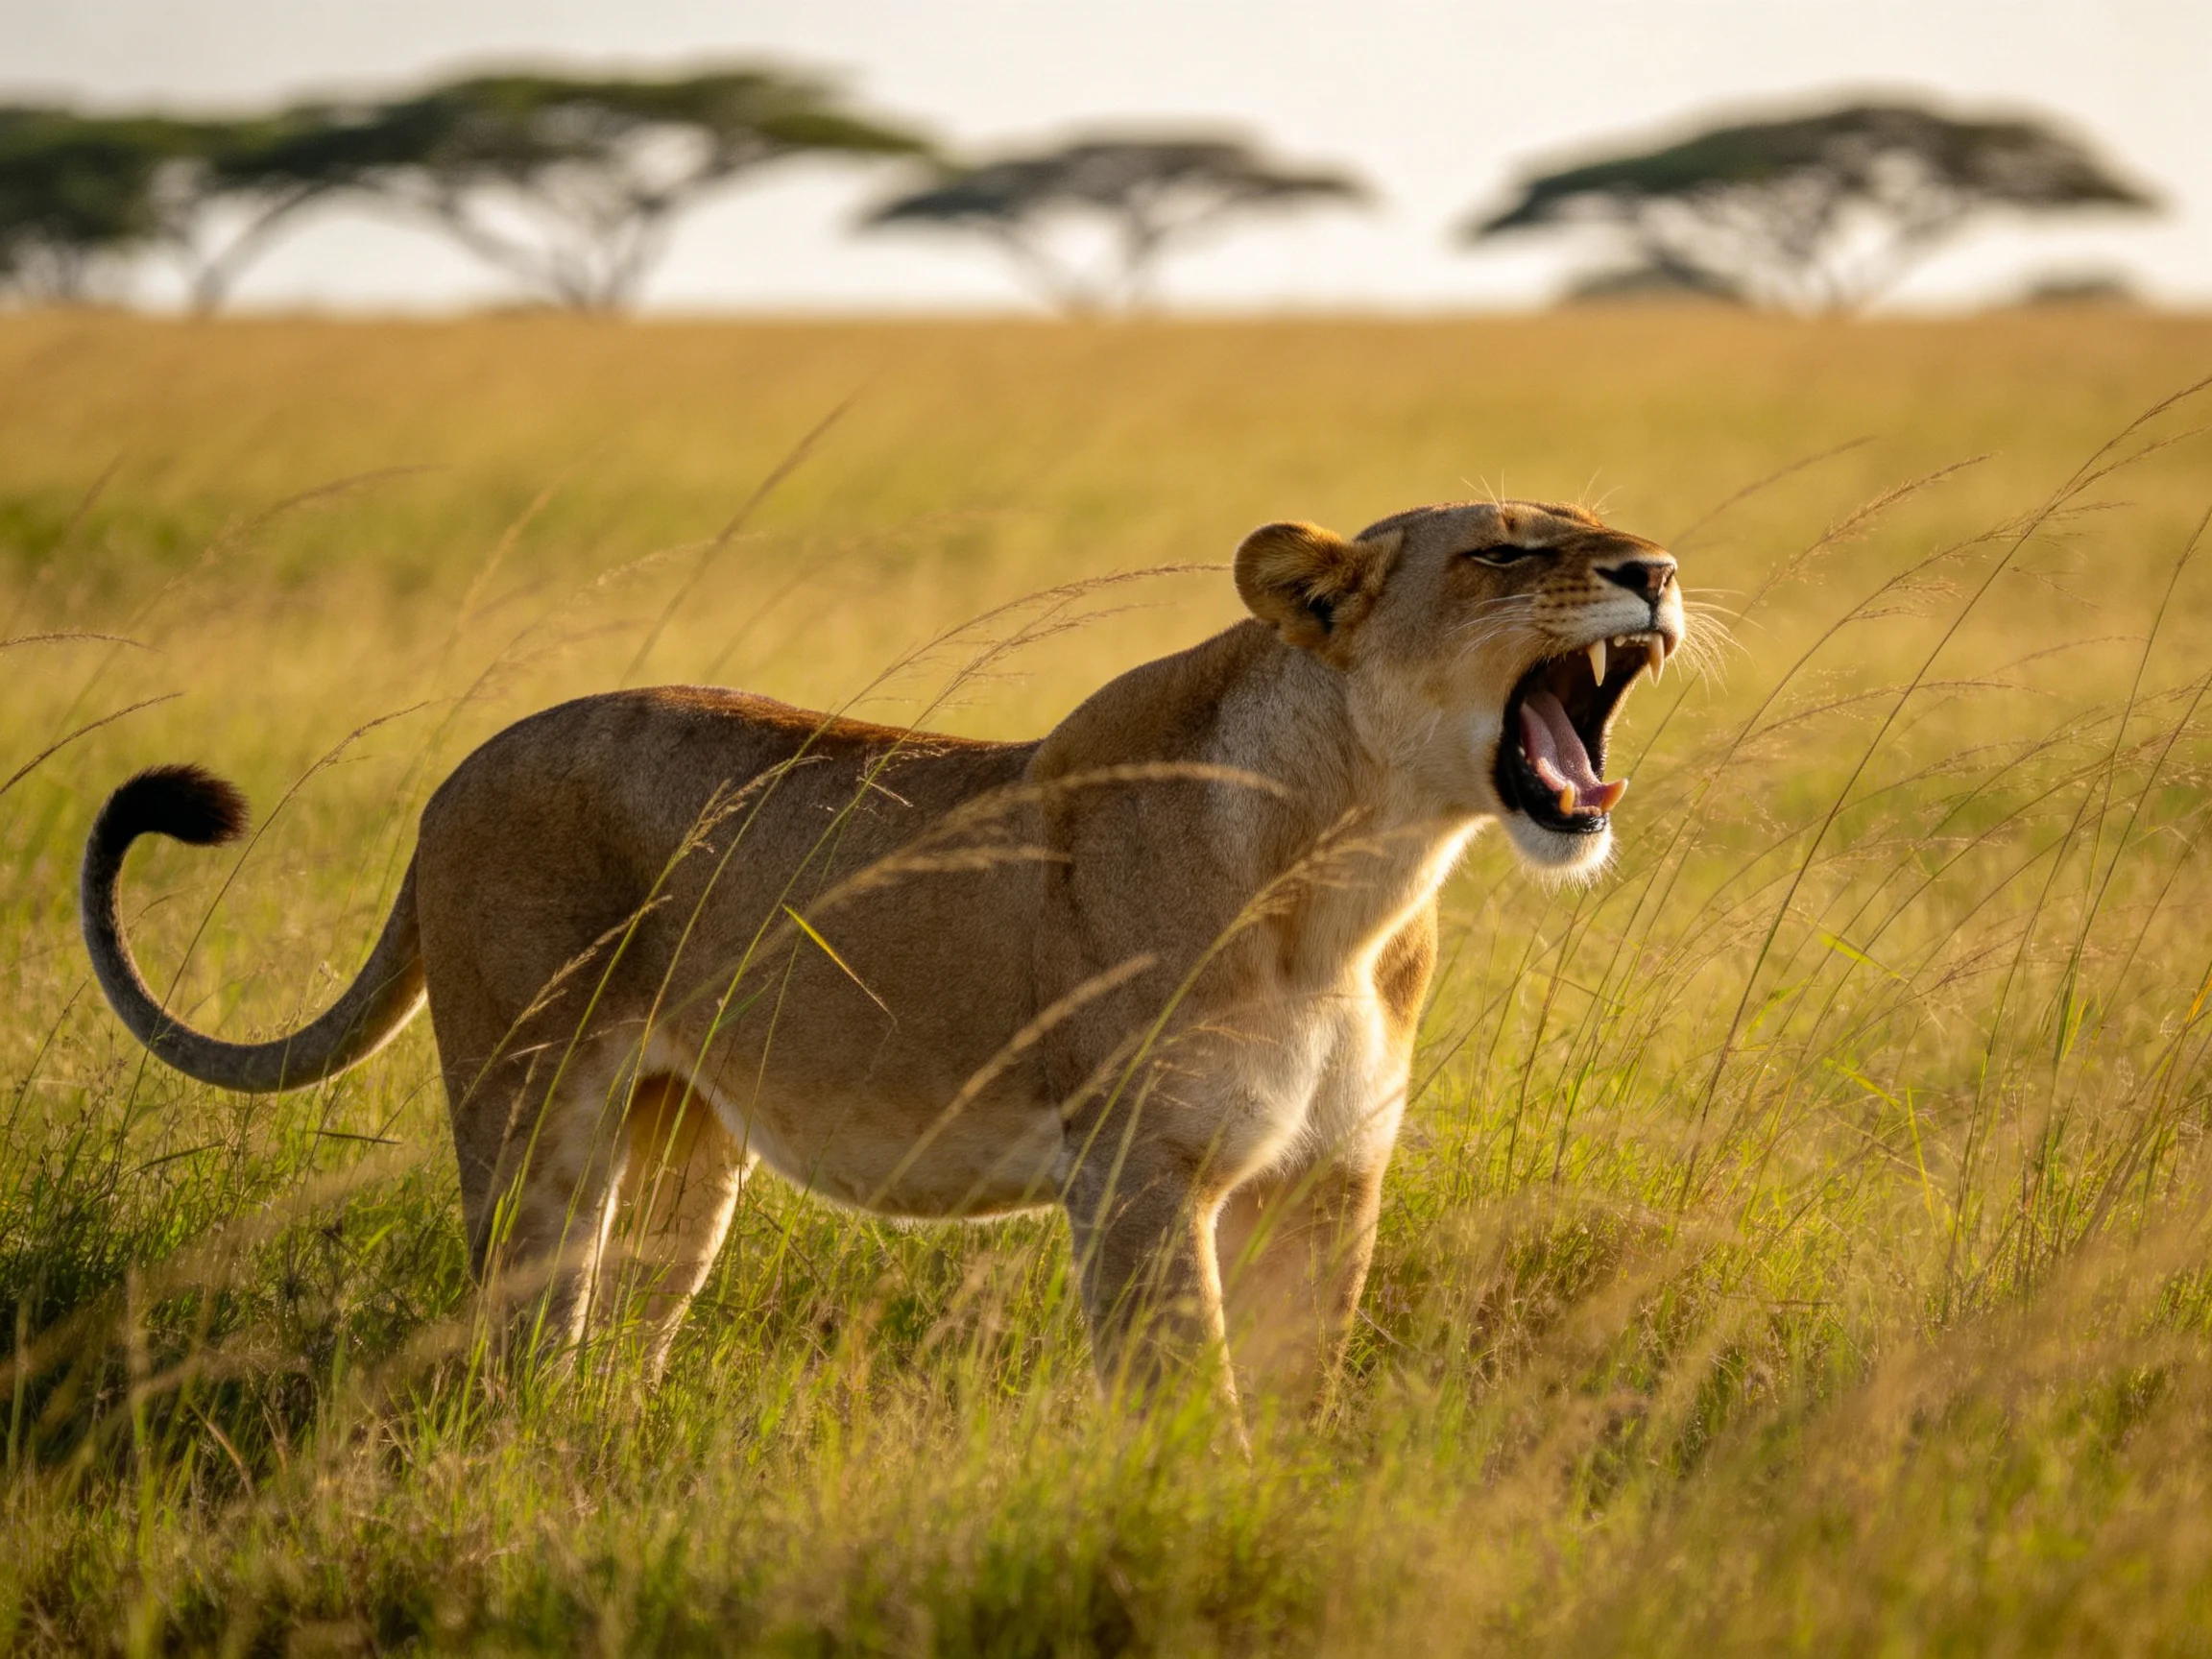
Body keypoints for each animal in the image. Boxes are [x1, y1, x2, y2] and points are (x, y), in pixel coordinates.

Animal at [81, 499, 1682, 1416]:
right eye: (1508, 553)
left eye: (1609, 529)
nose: (1659, 572)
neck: (1364, 867)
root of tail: (451, 781)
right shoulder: (1139, 1176)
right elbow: (1190, 1404)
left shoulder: (1329, 1178)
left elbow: (1299, 1398)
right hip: (533, 1103)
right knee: (525, 1320)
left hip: (685, 1145)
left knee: (619, 1331)